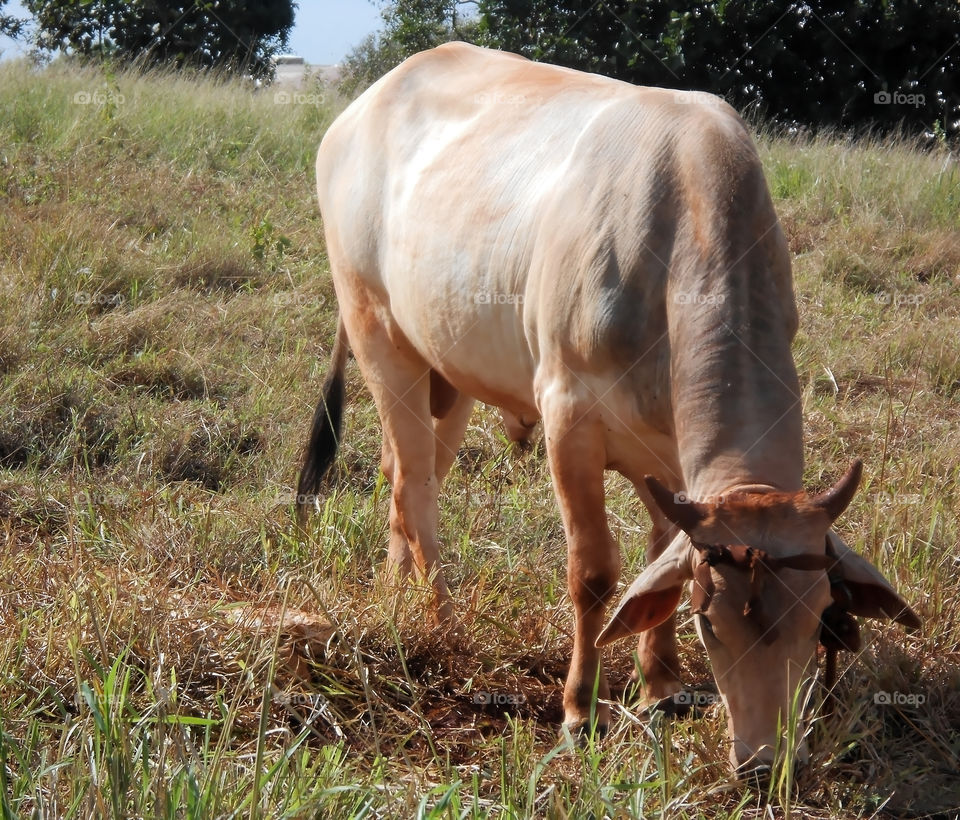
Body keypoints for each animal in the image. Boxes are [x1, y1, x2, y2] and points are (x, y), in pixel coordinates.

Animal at [296, 41, 920, 772]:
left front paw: (663, 688)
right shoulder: (568, 418)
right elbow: (594, 573)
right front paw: (579, 709)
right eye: (711, 622)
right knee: (415, 485)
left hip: (444, 370)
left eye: (820, 611)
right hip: (375, 330)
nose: (765, 761)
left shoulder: (672, 460)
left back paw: (399, 598)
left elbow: (661, 558)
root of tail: (368, 100)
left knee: (401, 472)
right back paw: (441, 621)